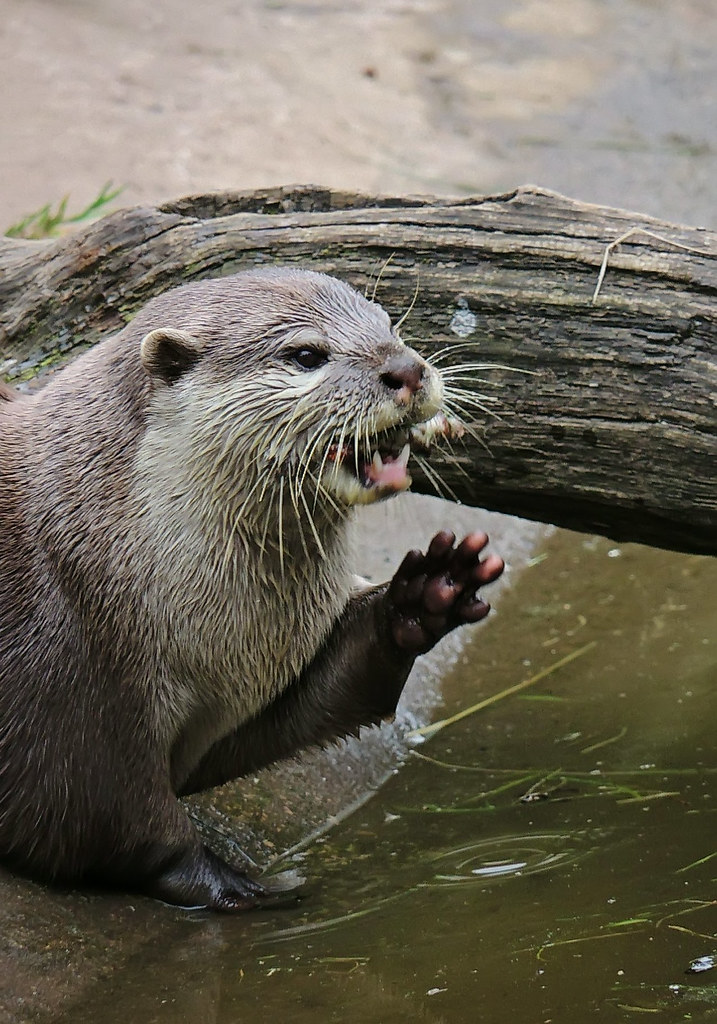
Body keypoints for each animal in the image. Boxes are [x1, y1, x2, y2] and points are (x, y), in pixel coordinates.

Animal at [0, 267, 504, 911]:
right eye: (307, 355)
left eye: (388, 325)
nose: (407, 369)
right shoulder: (75, 692)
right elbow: (111, 819)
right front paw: (237, 886)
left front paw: (425, 593)